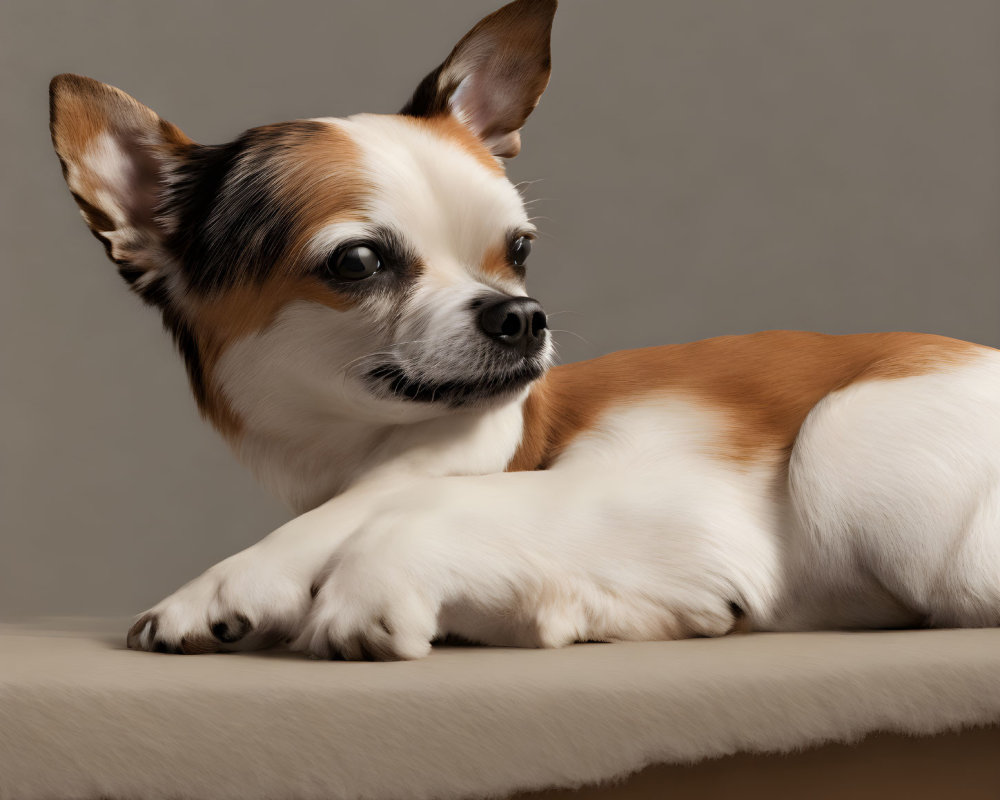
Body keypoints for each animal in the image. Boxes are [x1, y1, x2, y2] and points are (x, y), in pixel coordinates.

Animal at [50, 1, 1000, 656]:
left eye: (519, 250)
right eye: (356, 263)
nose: (521, 313)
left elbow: (417, 501)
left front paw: (238, 585)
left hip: (851, 446)